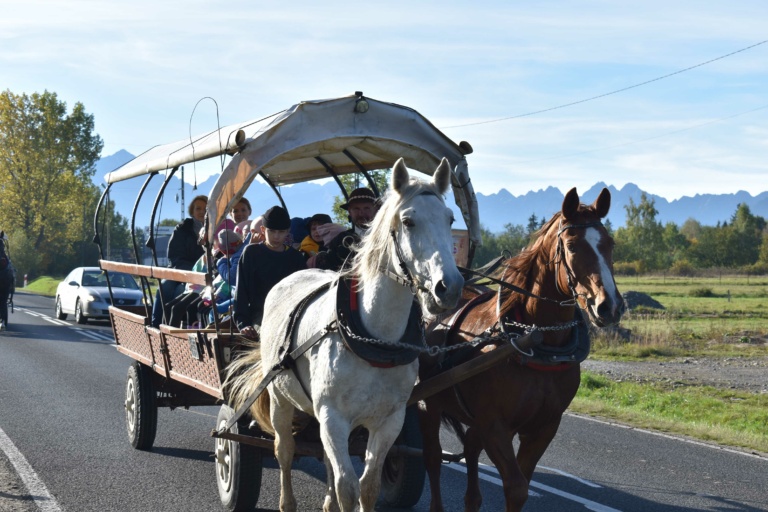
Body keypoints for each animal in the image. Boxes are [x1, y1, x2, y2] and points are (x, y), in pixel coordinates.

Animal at [222, 158, 462, 510]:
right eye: (408, 221)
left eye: (450, 219)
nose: (450, 287)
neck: (374, 339)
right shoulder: (333, 417)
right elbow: (347, 487)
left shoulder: (389, 421)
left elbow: (367, 486)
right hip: (280, 398)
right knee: (285, 451)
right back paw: (287, 500)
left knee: (325, 458)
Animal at [420, 188, 624, 512]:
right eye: (571, 246)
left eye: (610, 244)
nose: (610, 306)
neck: (536, 342)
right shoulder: (495, 425)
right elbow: (516, 487)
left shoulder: (543, 426)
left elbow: (522, 485)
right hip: (427, 404)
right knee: (432, 457)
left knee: (469, 449)